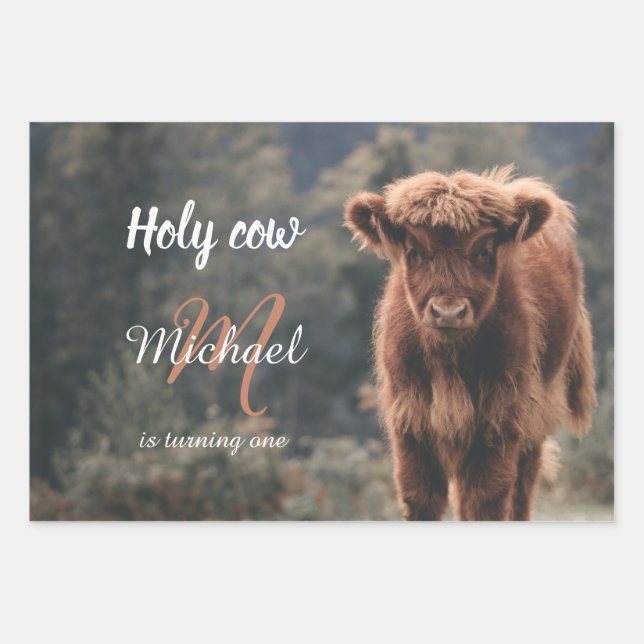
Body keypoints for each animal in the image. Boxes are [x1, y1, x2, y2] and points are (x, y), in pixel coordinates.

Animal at [344, 166, 596, 521]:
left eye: (483, 251)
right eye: (414, 251)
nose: (448, 311)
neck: (449, 362)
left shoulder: (501, 416)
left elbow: (485, 500)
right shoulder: (410, 419)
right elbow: (420, 497)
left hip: (537, 416)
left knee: (521, 489)